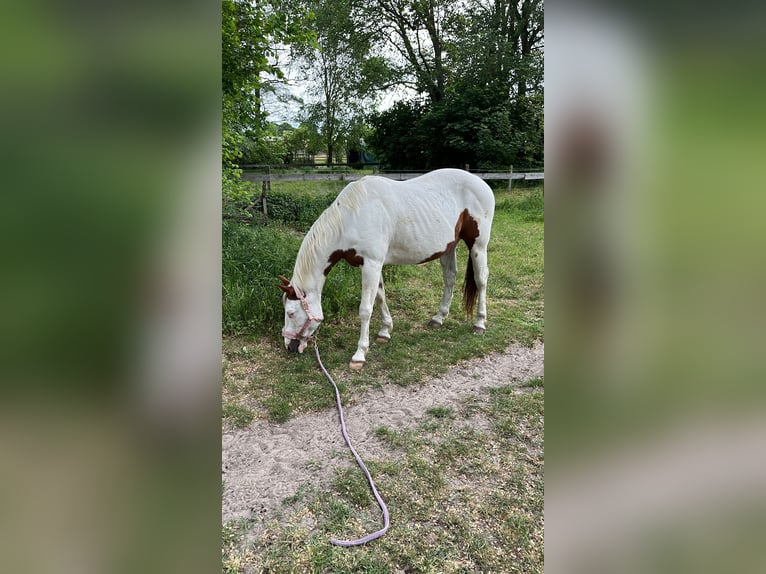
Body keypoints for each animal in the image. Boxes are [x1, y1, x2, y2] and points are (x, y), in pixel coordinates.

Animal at [280, 169, 496, 372]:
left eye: (290, 313)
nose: (289, 346)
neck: (351, 217)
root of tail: (481, 183)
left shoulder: (372, 264)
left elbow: (366, 309)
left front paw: (359, 354)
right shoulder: (371, 265)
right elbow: (380, 296)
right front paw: (385, 331)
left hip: (478, 245)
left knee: (481, 279)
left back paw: (479, 323)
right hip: (449, 246)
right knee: (450, 278)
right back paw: (439, 318)